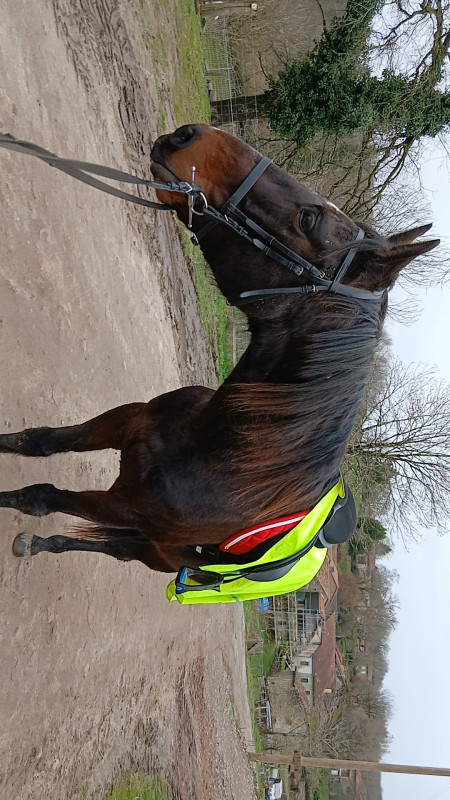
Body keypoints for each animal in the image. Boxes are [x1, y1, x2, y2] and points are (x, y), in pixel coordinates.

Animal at [0, 124, 439, 587]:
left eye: (308, 219)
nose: (188, 134)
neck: (222, 451)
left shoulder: (123, 507)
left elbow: (38, 496)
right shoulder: (127, 421)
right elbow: (40, 441)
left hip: (157, 549)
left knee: (118, 549)